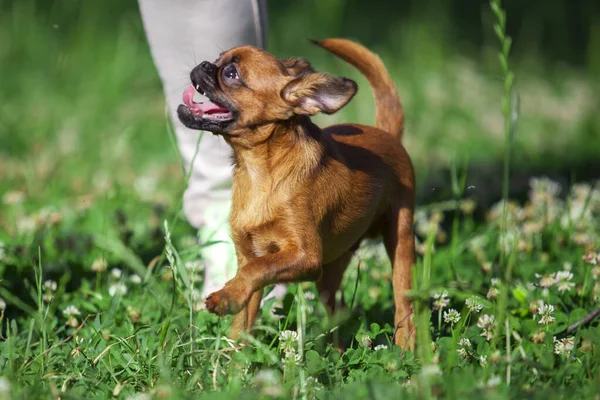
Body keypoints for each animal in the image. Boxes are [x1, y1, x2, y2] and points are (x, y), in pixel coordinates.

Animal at [176, 38, 414, 350]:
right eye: (217, 59)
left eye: (231, 73)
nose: (204, 65)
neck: (259, 172)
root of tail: (388, 135)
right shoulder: (250, 255)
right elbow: (246, 307)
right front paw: (235, 358)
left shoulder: (305, 257)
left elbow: (257, 270)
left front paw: (224, 297)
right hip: (330, 271)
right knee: (336, 309)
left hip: (400, 242)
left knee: (404, 305)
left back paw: (407, 349)